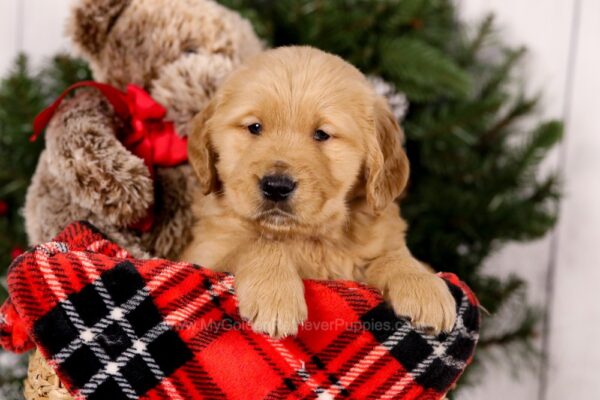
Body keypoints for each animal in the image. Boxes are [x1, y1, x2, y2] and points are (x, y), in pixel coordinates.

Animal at [180, 45, 458, 336]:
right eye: (254, 127)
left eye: (322, 134)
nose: (276, 187)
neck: (311, 239)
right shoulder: (205, 253)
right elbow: (257, 243)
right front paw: (274, 294)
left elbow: (394, 255)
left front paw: (422, 284)